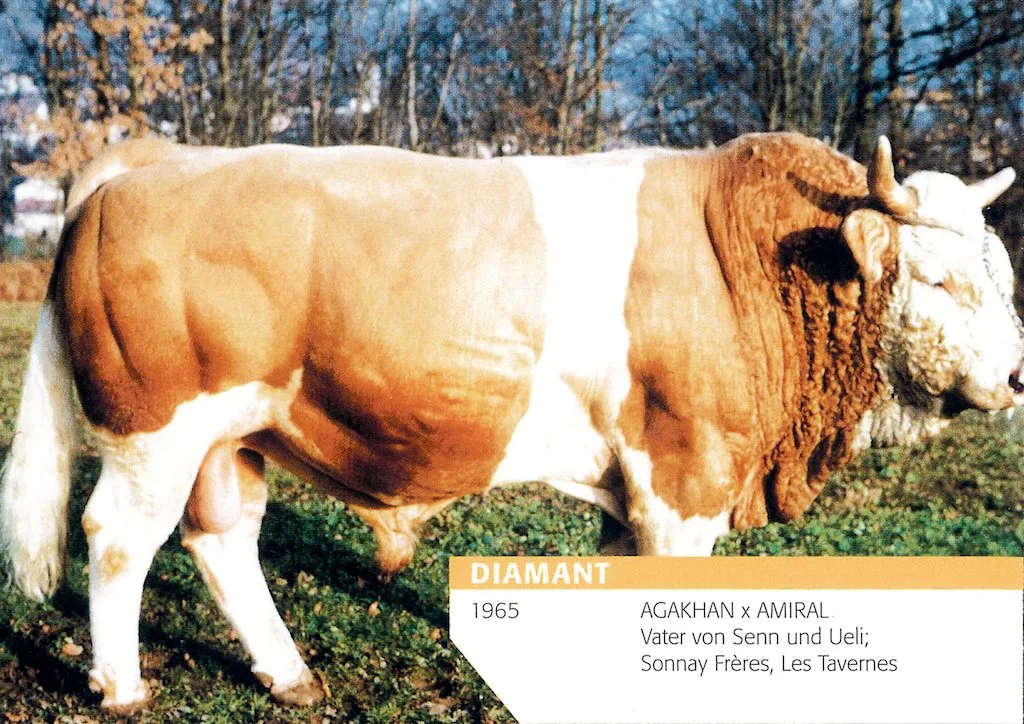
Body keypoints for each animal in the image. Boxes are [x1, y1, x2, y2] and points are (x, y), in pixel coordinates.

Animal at [1, 132, 1021, 711]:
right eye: (939, 279)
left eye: (1002, 272)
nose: (1016, 375)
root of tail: (154, 161)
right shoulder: (684, 475)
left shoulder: (634, 485)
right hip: (158, 429)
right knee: (118, 539)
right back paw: (123, 688)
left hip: (235, 433)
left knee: (221, 540)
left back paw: (288, 676)